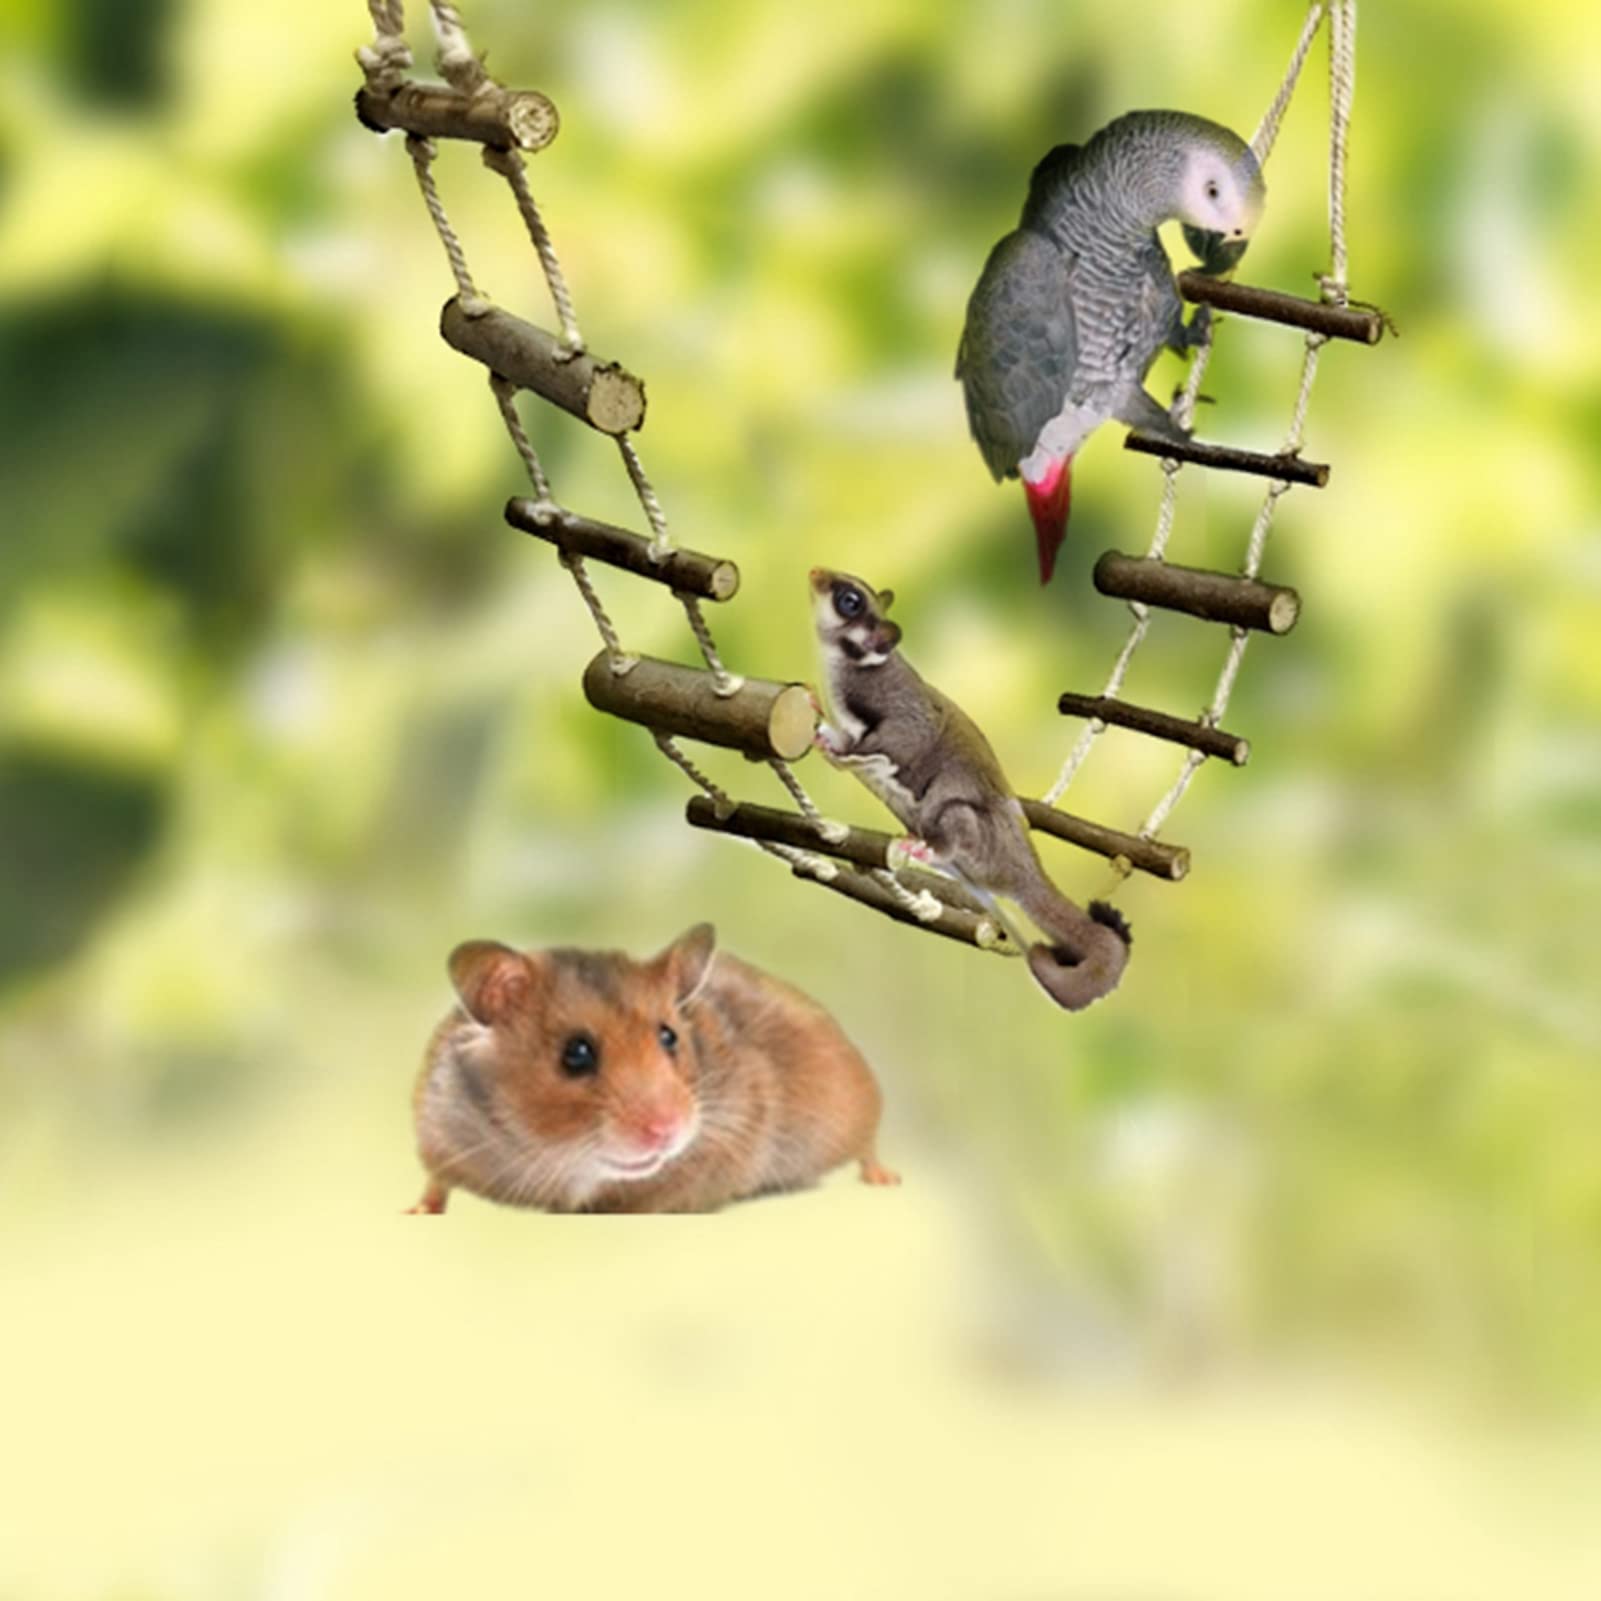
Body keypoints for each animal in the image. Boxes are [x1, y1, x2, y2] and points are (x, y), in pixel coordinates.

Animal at [407, 923, 899, 1214]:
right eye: (576, 1053)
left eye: (669, 1037)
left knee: (868, 1147)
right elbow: (435, 1183)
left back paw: (886, 1180)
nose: (668, 1129)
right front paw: (414, 1211)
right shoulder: (437, 1136)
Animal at [808, 566, 1131, 1011]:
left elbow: (898, 739)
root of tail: (1023, 870)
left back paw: (927, 847)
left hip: (957, 817)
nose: (814, 572)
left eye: (849, 600)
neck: (846, 666)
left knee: (952, 824)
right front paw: (823, 738)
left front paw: (849, 753)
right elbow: (842, 737)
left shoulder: (900, 712)